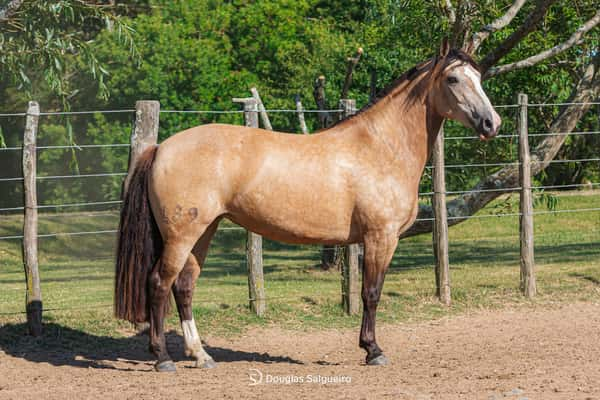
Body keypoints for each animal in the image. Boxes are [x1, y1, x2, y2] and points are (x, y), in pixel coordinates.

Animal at [113, 40, 502, 372]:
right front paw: (373, 351)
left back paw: (201, 355)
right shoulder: (381, 237)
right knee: (159, 284)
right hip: (182, 235)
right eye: (453, 78)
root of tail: (161, 148)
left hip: (204, 231)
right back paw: (163, 358)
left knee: (184, 286)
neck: (380, 147)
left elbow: (367, 292)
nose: (491, 123)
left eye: (479, 78)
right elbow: (371, 293)